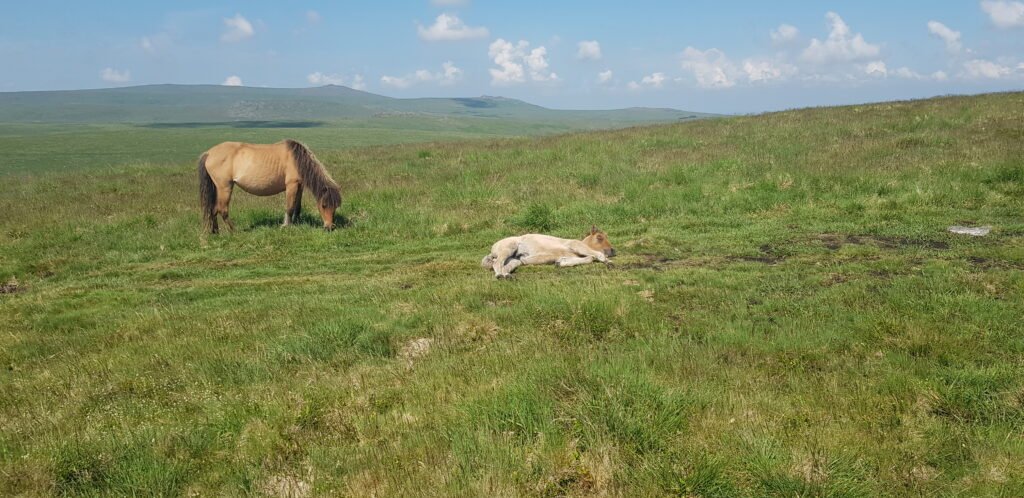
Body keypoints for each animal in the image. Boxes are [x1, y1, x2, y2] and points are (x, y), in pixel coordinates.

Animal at [197, 140, 342, 233]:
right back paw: (234, 231)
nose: (330, 227)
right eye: (324, 205)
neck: (297, 159)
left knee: (213, 209)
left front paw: (296, 222)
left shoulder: (299, 186)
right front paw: (286, 226)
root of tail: (208, 153)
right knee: (222, 210)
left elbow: (297, 207)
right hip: (225, 187)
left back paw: (215, 232)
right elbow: (289, 207)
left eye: (335, 206)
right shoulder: (291, 185)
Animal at [481, 226, 614, 278]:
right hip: (508, 248)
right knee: (497, 263)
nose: (614, 251)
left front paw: (560, 264)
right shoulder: (575, 244)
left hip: (515, 260)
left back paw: (507, 276)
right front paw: (609, 262)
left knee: (505, 267)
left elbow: (588, 258)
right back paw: (499, 276)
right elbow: (595, 256)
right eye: (599, 237)